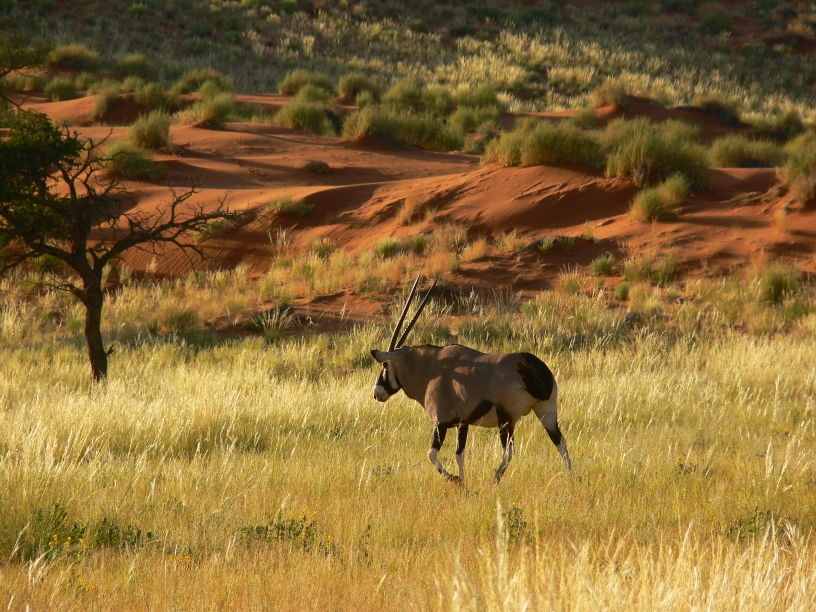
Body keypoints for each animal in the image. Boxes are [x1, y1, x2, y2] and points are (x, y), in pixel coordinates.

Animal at [371, 275, 572, 485]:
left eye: (385, 365)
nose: (377, 393)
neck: (431, 368)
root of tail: (531, 366)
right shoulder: (463, 422)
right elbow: (459, 453)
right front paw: (463, 482)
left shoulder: (440, 421)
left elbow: (431, 454)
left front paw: (454, 479)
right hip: (546, 411)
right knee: (561, 443)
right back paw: (573, 479)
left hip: (506, 418)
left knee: (508, 452)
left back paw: (494, 482)